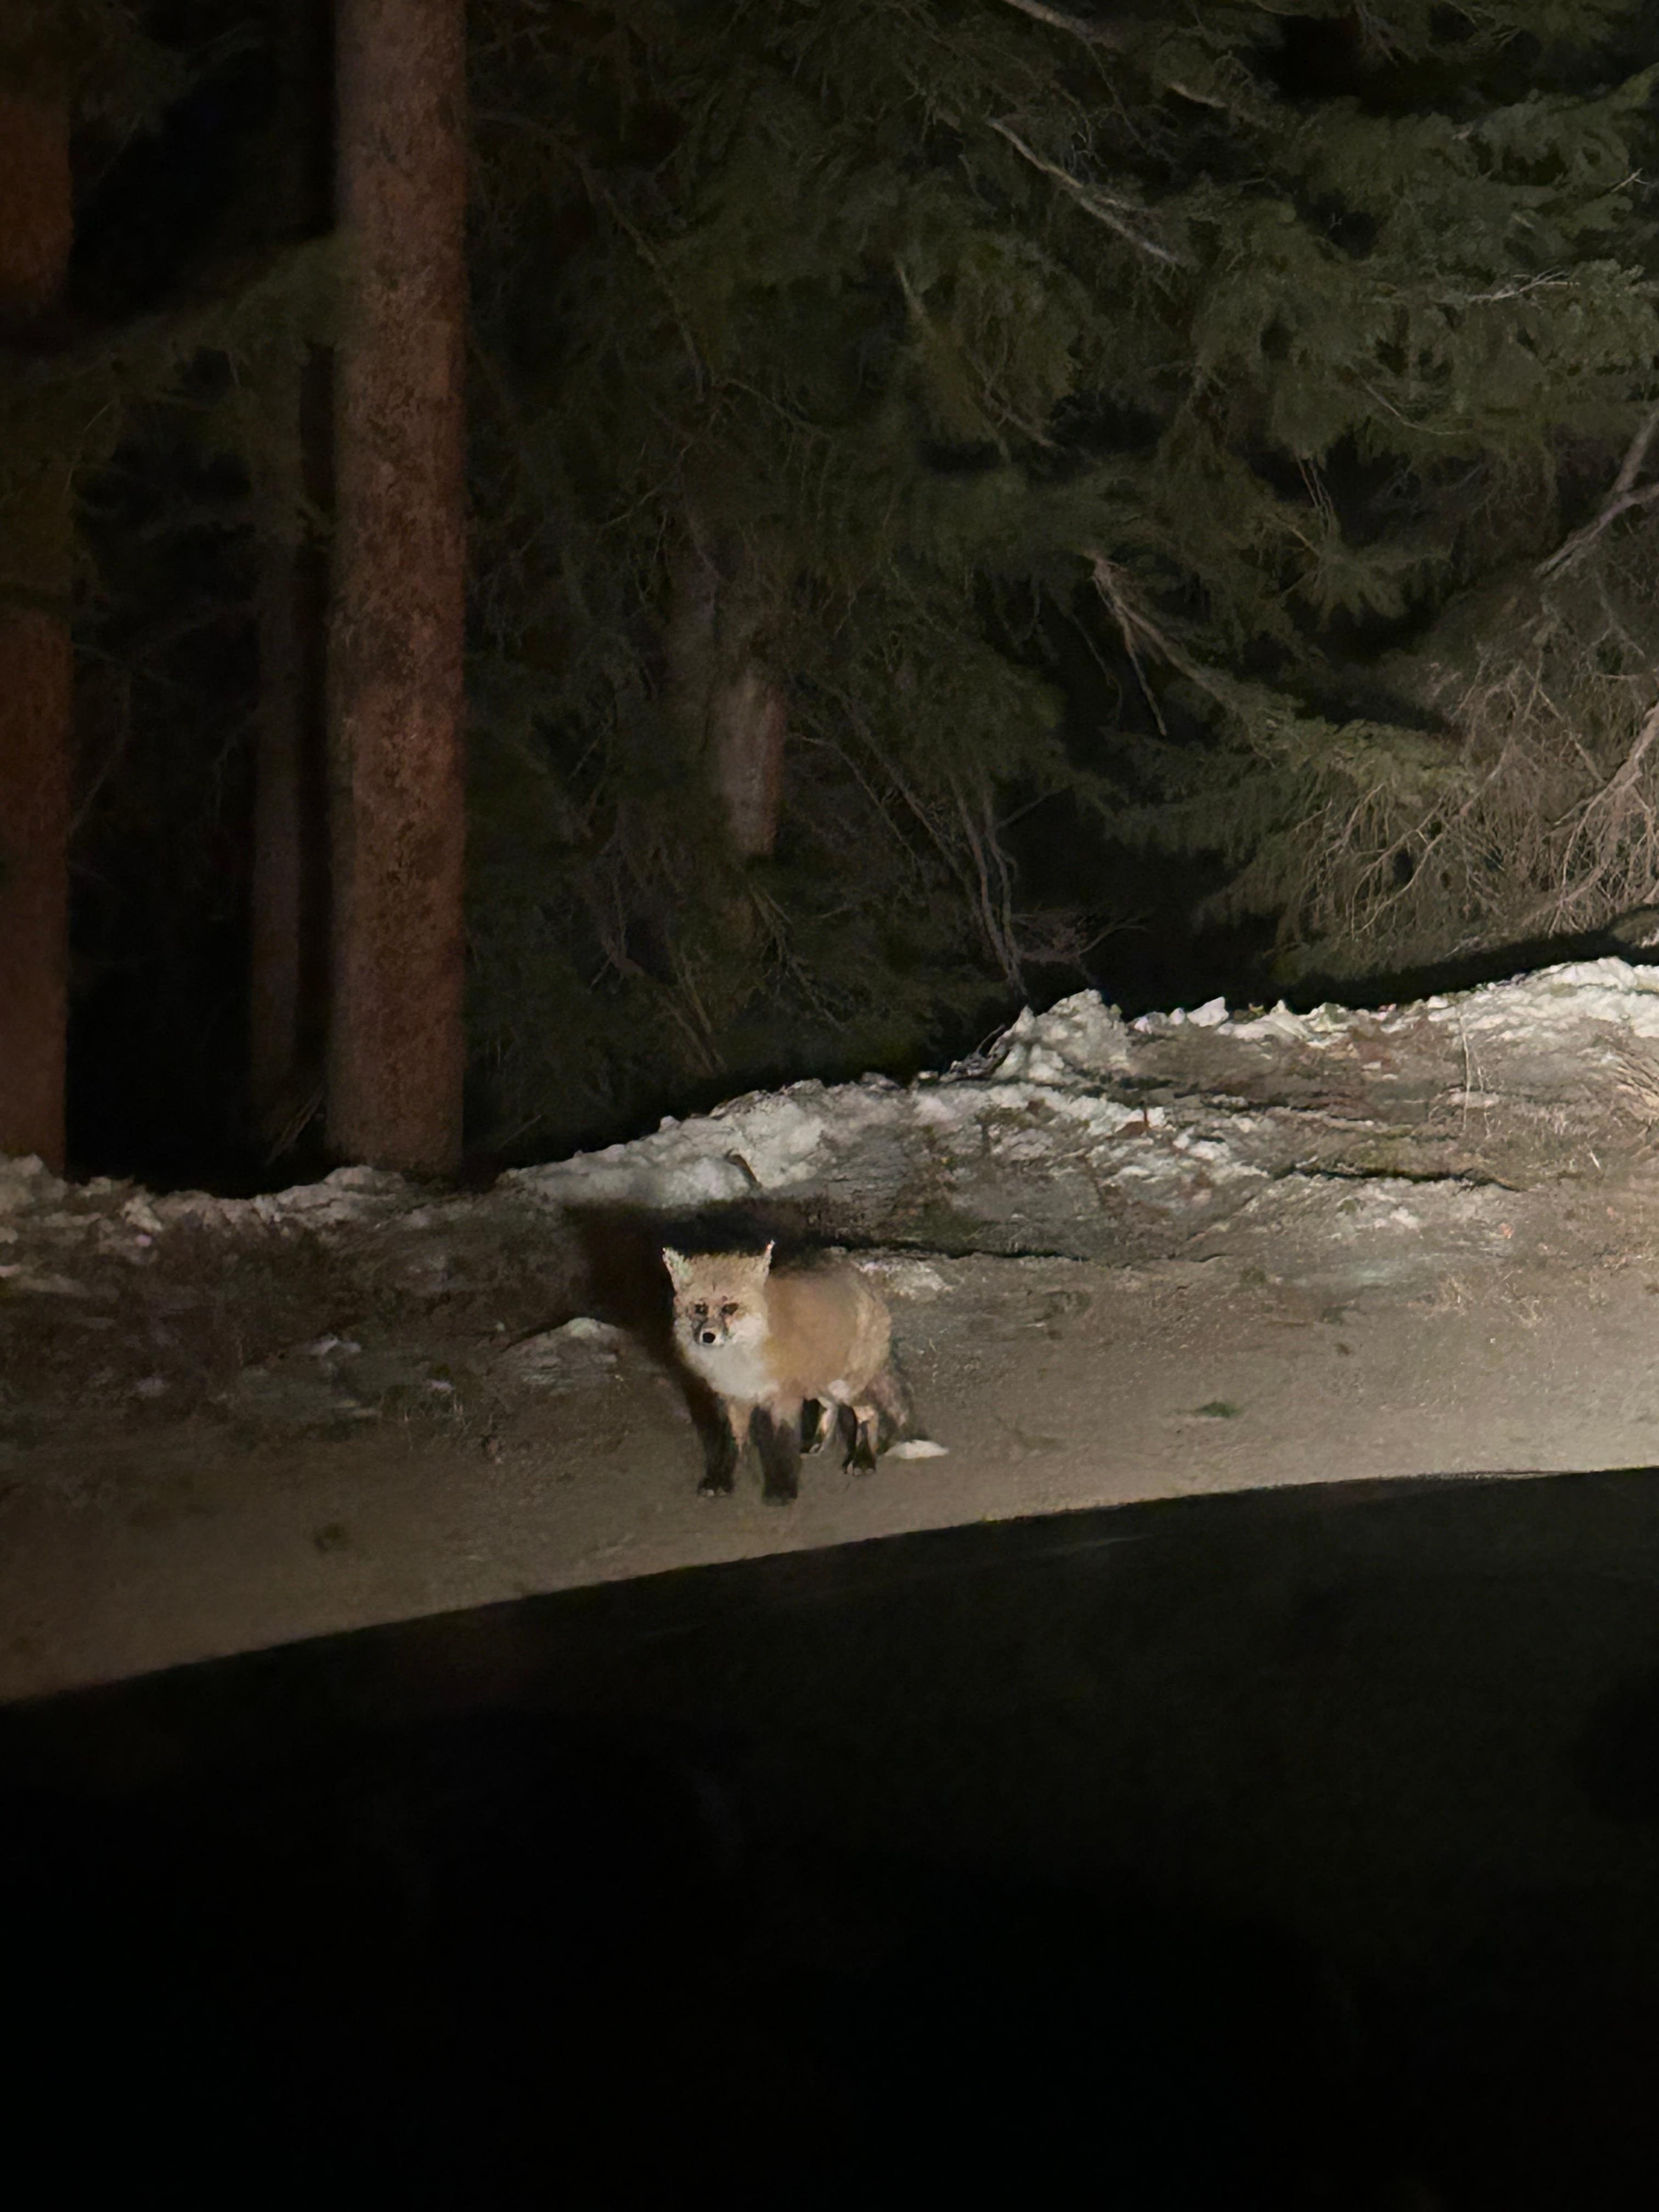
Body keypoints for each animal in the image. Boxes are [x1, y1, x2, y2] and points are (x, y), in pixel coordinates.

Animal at [662, 1242, 946, 1503]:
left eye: (729, 1308)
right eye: (699, 1308)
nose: (708, 1337)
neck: (739, 1361)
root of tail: (862, 1282)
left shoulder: (783, 1399)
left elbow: (781, 1446)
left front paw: (782, 1491)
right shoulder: (733, 1399)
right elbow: (728, 1446)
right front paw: (720, 1481)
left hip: (840, 1386)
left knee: (869, 1412)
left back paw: (864, 1460)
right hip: (816, 1383)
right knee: (830, 1407)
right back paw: (818, 1444)